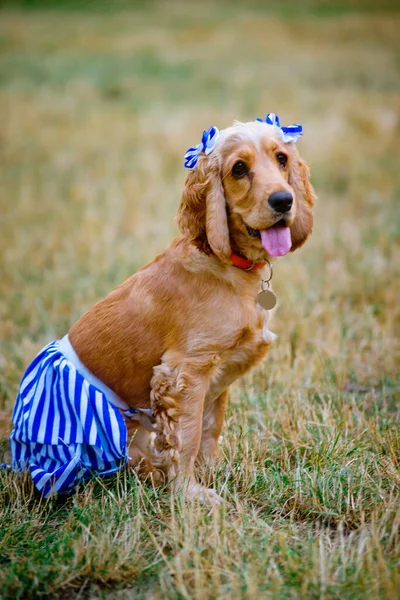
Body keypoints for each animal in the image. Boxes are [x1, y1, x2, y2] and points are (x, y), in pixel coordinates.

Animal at [8, 115, 316, 500]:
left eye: (282, 159)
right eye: (239, 168)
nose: (284, 200)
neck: (229, 264)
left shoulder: (219, 373)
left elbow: (210, 427)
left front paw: (214, 471)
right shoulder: (184, 372)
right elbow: (187, 436)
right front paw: (190, 493)